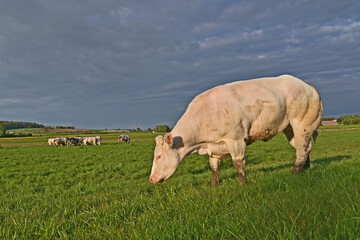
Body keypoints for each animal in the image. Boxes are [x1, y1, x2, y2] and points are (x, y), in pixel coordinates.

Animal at [149, 75, 324, 186]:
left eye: (158, 156)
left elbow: (238, 163)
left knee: (302, 149)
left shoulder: (236, 139)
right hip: (290, 129)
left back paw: (294, 172)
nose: (151, 179)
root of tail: (309, 87)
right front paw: (215, 186)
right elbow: (214, 167)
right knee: (305, 148)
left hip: (302, 125)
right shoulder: (214, 146)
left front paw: (243, 184)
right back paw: (306, 169)